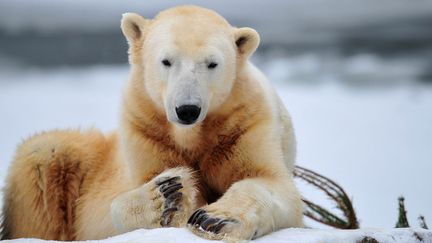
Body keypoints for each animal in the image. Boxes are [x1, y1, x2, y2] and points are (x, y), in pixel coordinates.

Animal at [0, 5, 304, 241]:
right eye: (166, 61)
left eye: (212, 63)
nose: (187, 110)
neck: (191, 135)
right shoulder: (145, 130)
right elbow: (126, 199)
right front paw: (167, 195)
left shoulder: (242, 125)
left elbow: (267, 181)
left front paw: (214, 219)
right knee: (43, 154)